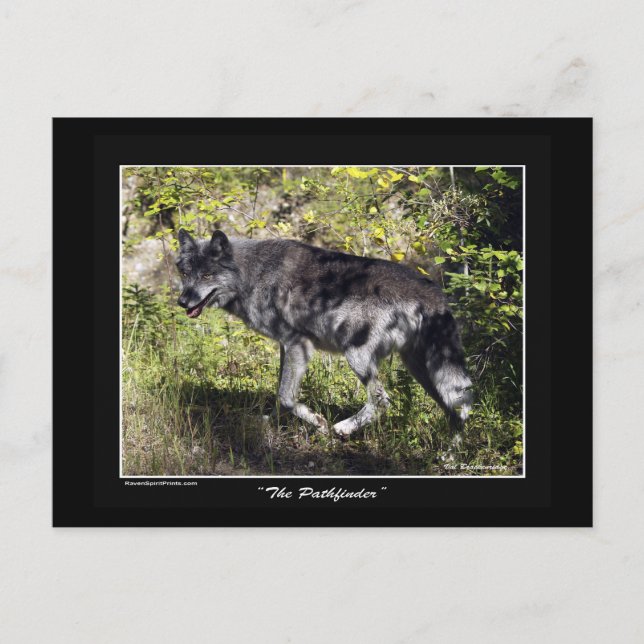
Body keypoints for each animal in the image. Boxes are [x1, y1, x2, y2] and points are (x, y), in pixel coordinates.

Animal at [176, 229, 473, 437]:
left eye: (207, 275)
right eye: (186, 273)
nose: (182, 301)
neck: (253, 274)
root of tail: (433, 292)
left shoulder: (299, 344)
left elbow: (286, 398)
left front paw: (318, 423)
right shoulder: (287, 347)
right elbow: (280, 393)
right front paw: (270, 424)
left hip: (357, 356)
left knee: (383, 401)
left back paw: (344, 428)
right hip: (425, 373)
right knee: (455, 414)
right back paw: (449, 458)